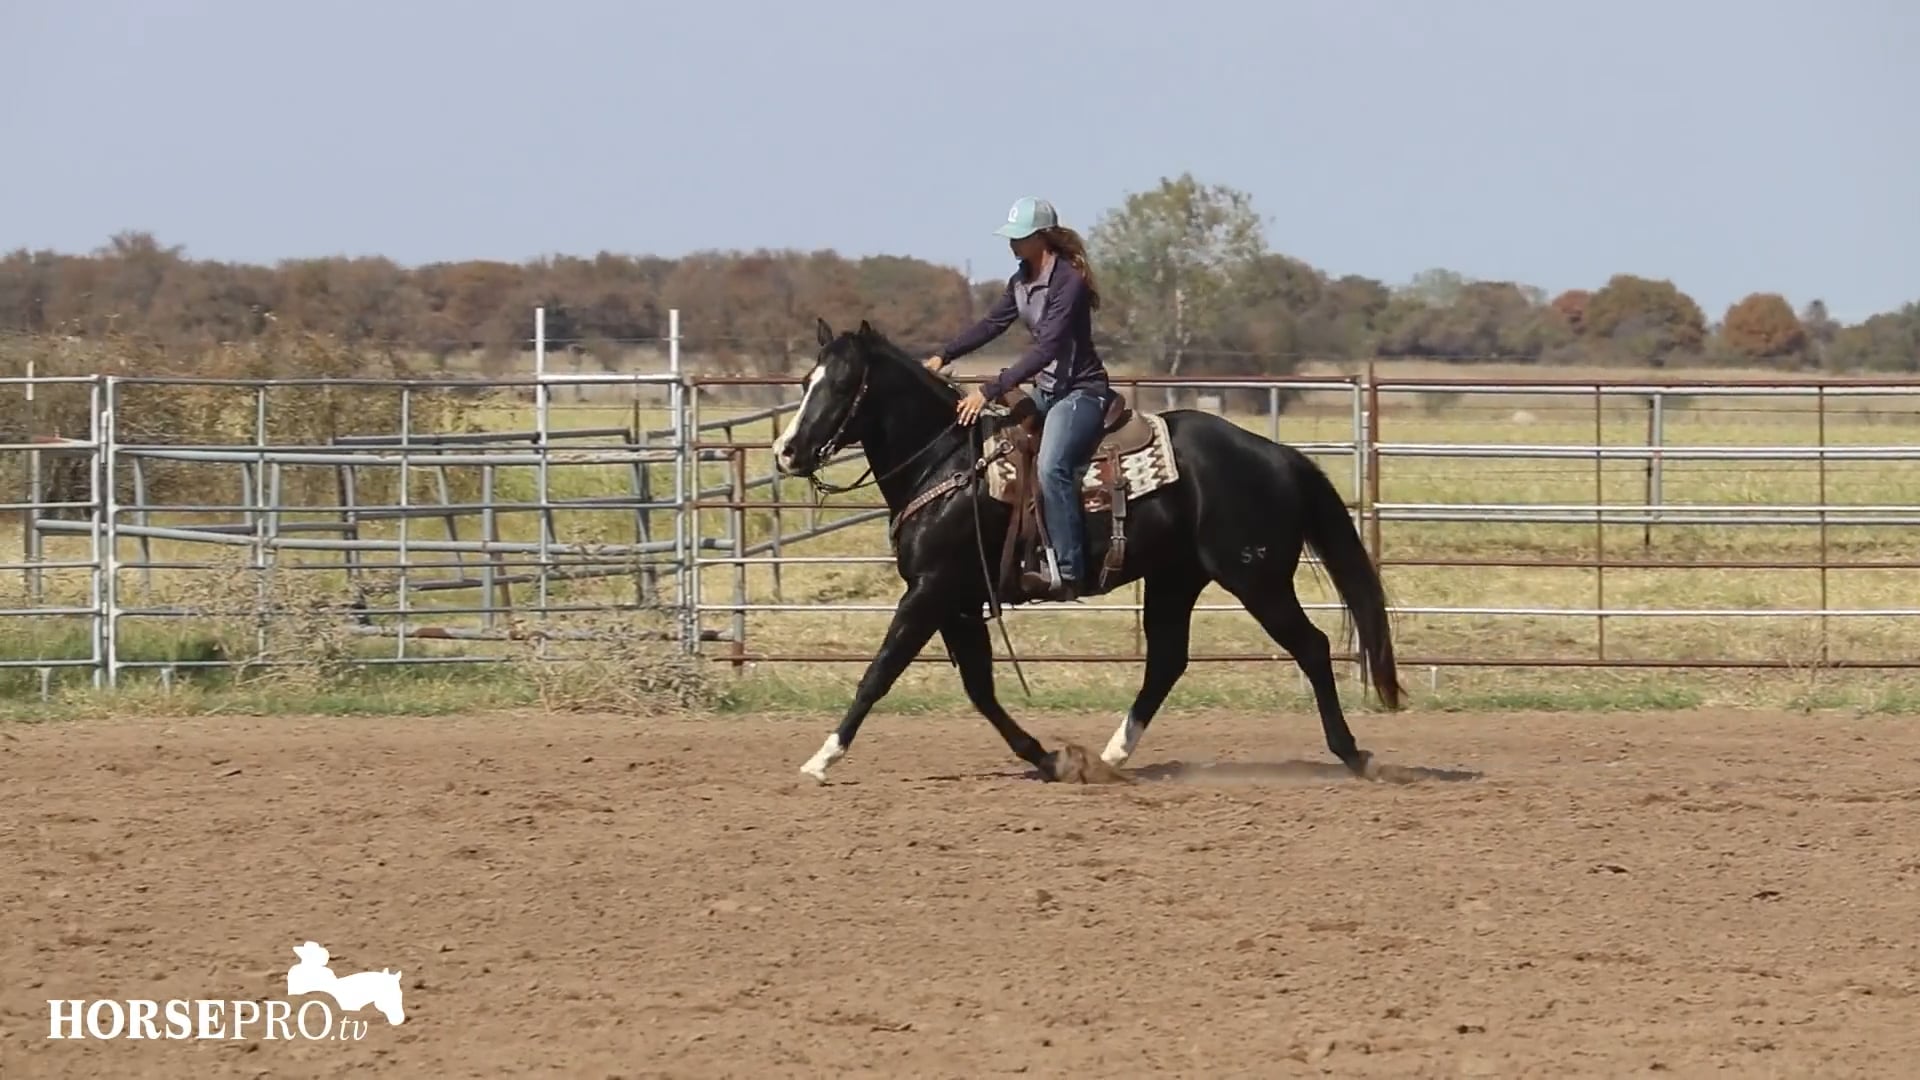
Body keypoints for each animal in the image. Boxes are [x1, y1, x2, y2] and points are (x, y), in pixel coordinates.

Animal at [769, 317, 1404, 784]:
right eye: (804, 382)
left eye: (842, 384)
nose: (786, 451)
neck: (947, 462)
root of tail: (1279, 456)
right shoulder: (957, 602)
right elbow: (980, 689)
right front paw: (1052, 758)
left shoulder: (929, 592)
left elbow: (878, 674)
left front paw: (821, 759)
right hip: (1176, 580)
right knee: (1166, 661)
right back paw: (1111, 755)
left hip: (1258, 580)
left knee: (1311, 647)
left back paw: (1355, 754)